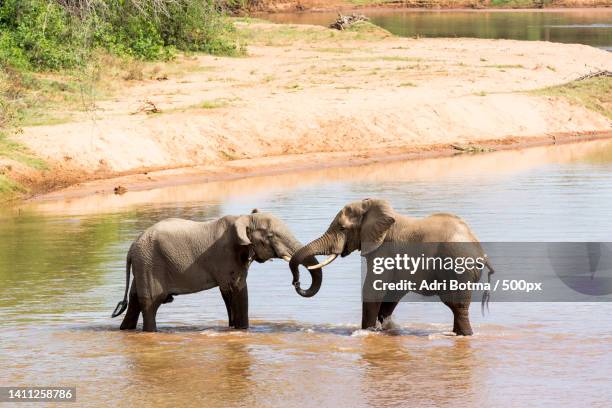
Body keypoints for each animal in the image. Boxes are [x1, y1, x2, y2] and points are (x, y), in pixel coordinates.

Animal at [111, 210, 320, 332]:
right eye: (271, 236)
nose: (296, 283)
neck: (243, 218)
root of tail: (131, 249)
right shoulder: (226, 256)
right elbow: (237, 290)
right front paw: (243, 330)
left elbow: (227, 294)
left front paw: (233, 328)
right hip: (149, 264)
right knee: (150, 304)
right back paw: (151, 332)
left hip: (143, 265)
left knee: (135, 301)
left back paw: (126, 330)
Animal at [290, 199, 494, 336]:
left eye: (342, 228)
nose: (296, 282)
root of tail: (480, 251)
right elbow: (391, 293)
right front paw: (383, 329)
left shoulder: (383, 249)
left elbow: (373, 289)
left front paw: (368, 332)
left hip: (456, 266)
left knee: (456, 305)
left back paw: (464, 335)